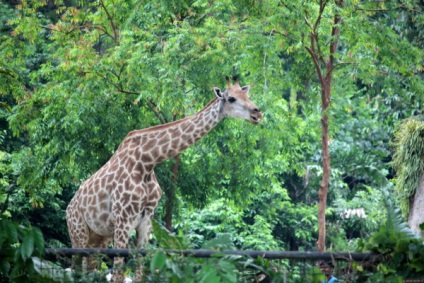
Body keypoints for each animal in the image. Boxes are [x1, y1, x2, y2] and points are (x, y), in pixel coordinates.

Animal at [65, 76, 264, 282]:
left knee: (89, 269)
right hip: (78, 232)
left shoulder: (146, 221)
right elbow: (118, 274)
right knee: (77, 267)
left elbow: (139, 271)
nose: (257, 112)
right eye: (231, 98)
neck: (147, 161)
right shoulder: (123, 220)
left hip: (99, 236)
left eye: (247, 95)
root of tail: (69, 207)